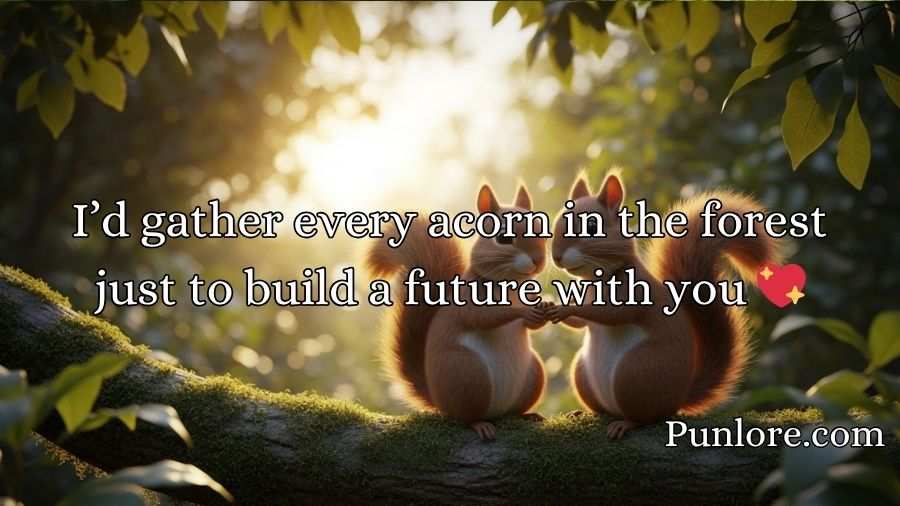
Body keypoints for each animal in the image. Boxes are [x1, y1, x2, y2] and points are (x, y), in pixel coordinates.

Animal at [367, 183, 549, 440]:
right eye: (504, 238)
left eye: (542, 231)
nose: (538, 260)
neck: (511, 284)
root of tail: (438, 400)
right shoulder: (468, 299)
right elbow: (484, 317)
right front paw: (523, 311)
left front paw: (544, 307)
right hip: (467, 373)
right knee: (465, 417)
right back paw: (480, 424)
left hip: (533, 373)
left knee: (510, 411)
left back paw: (526, 415)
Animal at [546, 172, 781, 439]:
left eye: (592, 227)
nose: (556, 256)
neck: (597, 278)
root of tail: (678, 399)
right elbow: (581, 323)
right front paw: (552, 304)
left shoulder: (636, 292)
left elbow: (612, 313)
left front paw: (567, 308)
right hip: (582, 371)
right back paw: (585, 413)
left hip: (636, 371)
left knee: (646, 417)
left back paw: (625, 424)